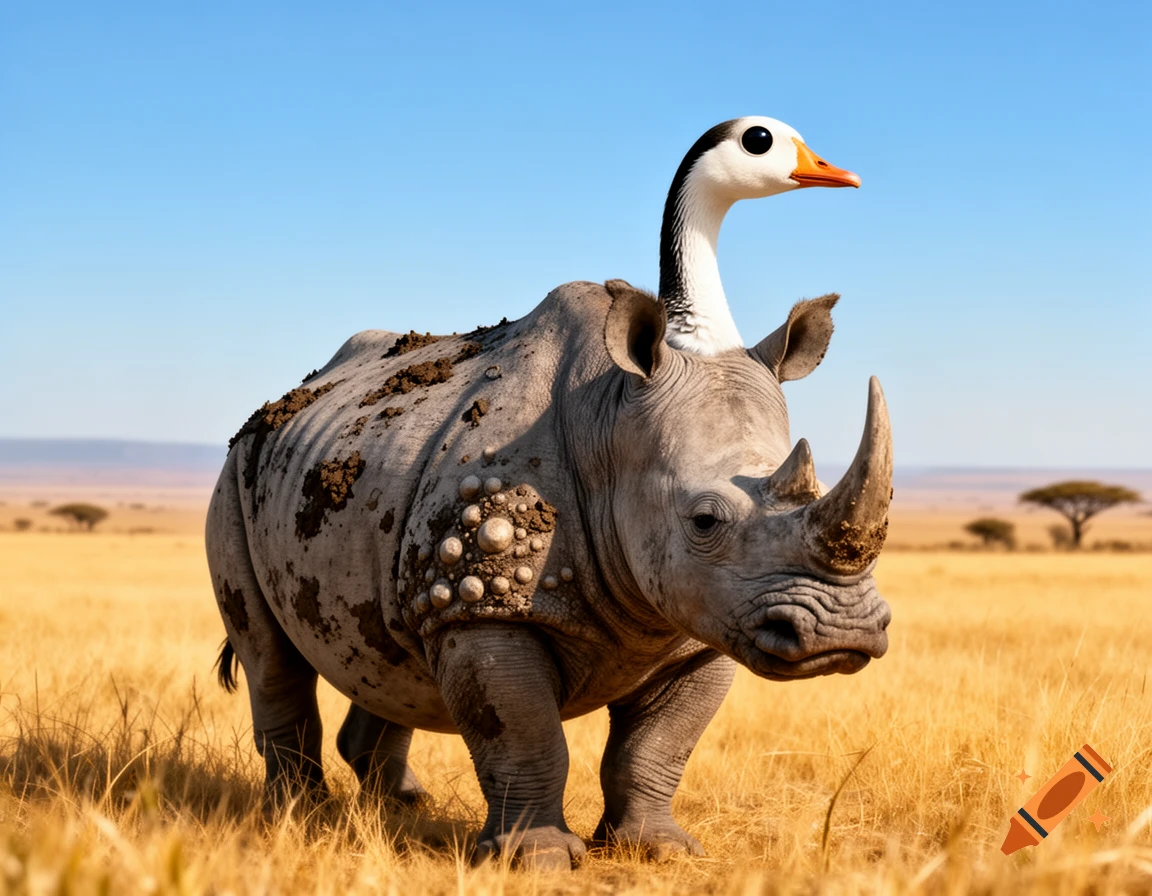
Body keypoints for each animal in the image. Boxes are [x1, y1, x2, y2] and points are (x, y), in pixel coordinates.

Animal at [207, 279, 893, 870]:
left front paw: (658, 850)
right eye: (704, 520)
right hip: (235, 480)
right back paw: (297, 818)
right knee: (272, 659)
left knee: (388, 650)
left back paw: (402, 808)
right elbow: (524, 733)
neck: (609, 424)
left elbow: (658, 747)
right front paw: (536, 860)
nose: (844, 633)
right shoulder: (481, 608)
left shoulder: (702, 625)